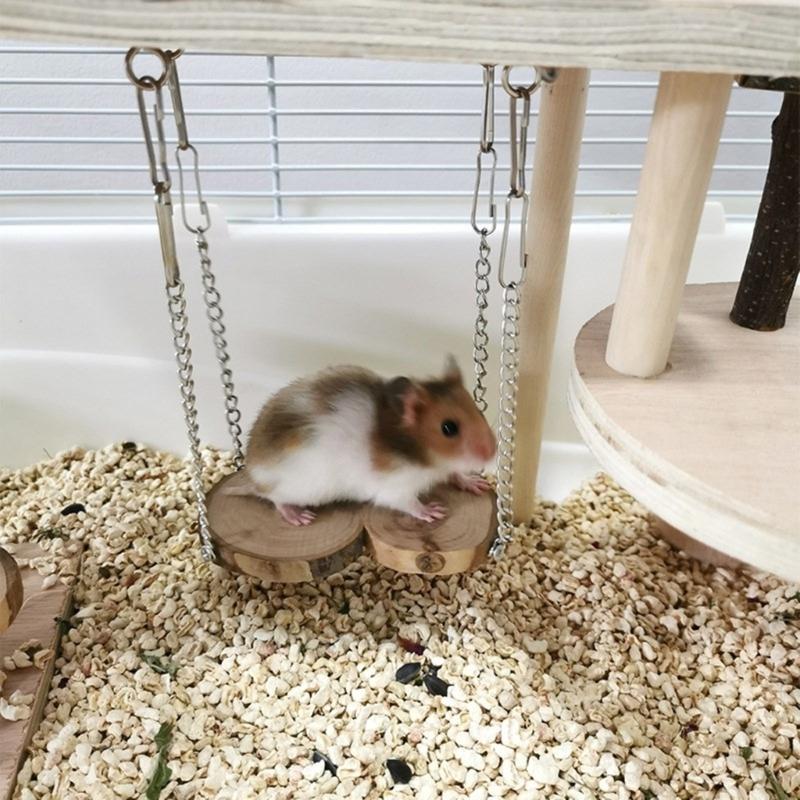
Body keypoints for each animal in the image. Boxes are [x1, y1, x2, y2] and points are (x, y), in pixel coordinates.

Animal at [242, 356, 496, 526]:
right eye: (448, 428)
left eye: (478, 410)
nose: (492, 452)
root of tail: (252, 475)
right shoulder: (395, 487)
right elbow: (409, 503)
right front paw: (434, 512)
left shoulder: (445, 467)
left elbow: (456, 473)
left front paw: (477, 484)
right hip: (298, 488)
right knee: (273, 498)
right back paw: (299, 517)